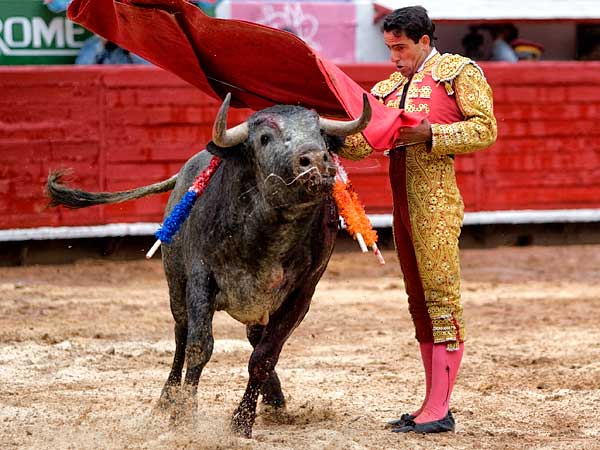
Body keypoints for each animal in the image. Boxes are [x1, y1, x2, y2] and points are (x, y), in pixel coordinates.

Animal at [47, 93, 371, 438]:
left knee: (255, 340)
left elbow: (264, 356)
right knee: (181, 334)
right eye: (264, 138)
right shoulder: (201, 277)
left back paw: (275, 402)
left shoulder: (302, 293)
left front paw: (242, 422)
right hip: (176, 284)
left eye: (320, 133)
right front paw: (183, 416)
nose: (317, 161)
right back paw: (166, 401)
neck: (272, 228)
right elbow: (199, 346)